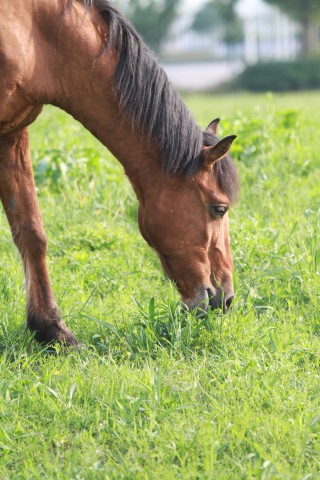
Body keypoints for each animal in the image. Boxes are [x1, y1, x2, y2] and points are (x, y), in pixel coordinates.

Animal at [0, 0, 238, 344]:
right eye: (219, 208)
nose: (227, 297)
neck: (36, 36)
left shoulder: (13, 132)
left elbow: (31, 232)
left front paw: (52, 330)